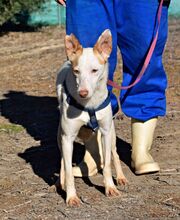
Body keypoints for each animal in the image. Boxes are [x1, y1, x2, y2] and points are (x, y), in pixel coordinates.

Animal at [56, 29, 126, 206]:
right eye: (76, 71)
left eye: (95, 70)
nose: (83, 92)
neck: (89, 104)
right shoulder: (67, 138)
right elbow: (68, 169)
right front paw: (71, 196)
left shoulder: (106, 132)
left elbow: (107, 164)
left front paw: (110, 188)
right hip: (60, 136)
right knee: (62, 160)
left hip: (112, 134)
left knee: (115, 154)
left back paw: (121, 177)